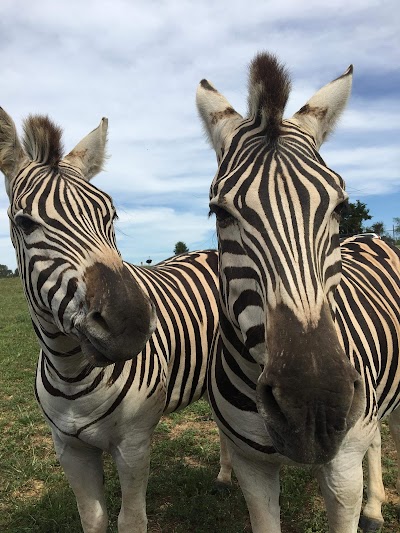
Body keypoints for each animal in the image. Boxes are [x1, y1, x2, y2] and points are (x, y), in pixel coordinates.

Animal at [0, 110, 231, 528]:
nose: (130, 325)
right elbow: (92, 519)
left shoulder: (134, 445)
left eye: (111, 214)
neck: (71, 371)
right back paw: (223, 477)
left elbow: (131, 521)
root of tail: (211, 251)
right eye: (25, 223)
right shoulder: (69, 450)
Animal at [196, 51, 400, 532]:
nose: (313, 407)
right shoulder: (251, 465)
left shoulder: (342, 466)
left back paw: (374, 508)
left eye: (341, 207)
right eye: (219, 213)